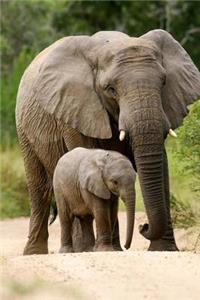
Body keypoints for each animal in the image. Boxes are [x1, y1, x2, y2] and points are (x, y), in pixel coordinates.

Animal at [16, 29, 200, 255]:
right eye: (110, 89)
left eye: (163, 82)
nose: (143, 226)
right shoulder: (75, 109)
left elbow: (161, 167)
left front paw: (163, 250)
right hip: (24, 129)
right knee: (39, 187)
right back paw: (46, 251)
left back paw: (109, 248)